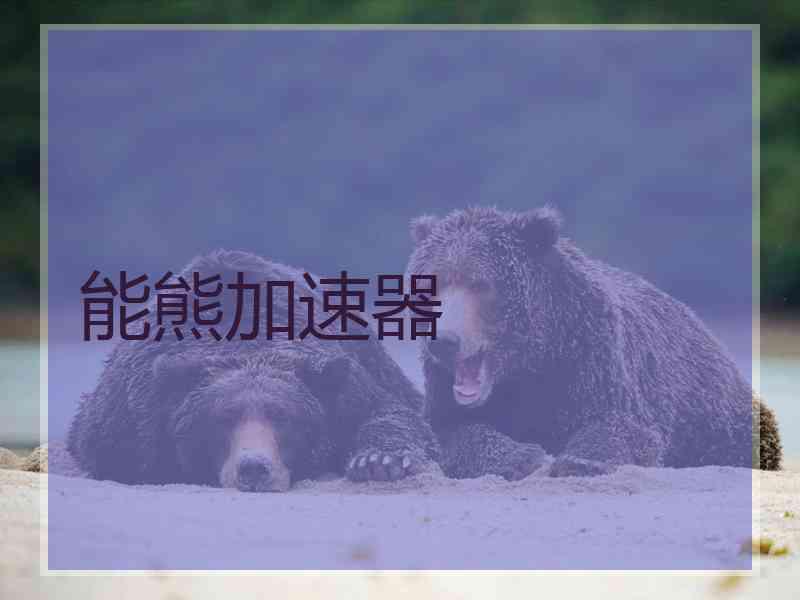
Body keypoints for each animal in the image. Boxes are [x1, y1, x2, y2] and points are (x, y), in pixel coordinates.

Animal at [67, 250, 439, 491]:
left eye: (284, 417)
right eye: (222, 418)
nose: (254, 468)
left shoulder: (345, 386)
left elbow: (390, 412)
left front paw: (378, 461)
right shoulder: (133, 411)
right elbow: (108, 449)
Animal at [406, 206, 781, 479]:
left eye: (481, 284)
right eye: (432, 283)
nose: (444, 341)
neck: (529, 364)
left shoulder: (588, 359)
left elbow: (621, 426)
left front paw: (580, 461)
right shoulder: (444, 390)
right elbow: (448, 431)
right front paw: (521, 456)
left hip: (714, 413)